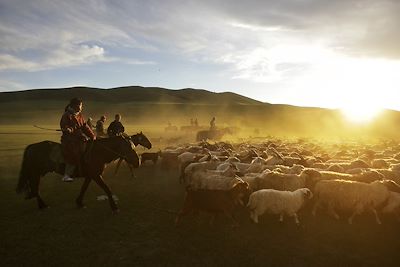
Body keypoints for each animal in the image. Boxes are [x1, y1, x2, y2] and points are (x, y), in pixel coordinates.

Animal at [16, 133, 152, 215]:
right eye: (128, 148)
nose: (138, 162)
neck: (99, 152)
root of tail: (31, 147)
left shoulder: (90, 175)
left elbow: (84, 188)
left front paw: (79, 202)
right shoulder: (96, 175)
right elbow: (107, 189)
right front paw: (114, 207)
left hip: (37, 173)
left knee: (35, 189)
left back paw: (41, 204)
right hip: (35, 173)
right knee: (35, 189)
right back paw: (43, 205)